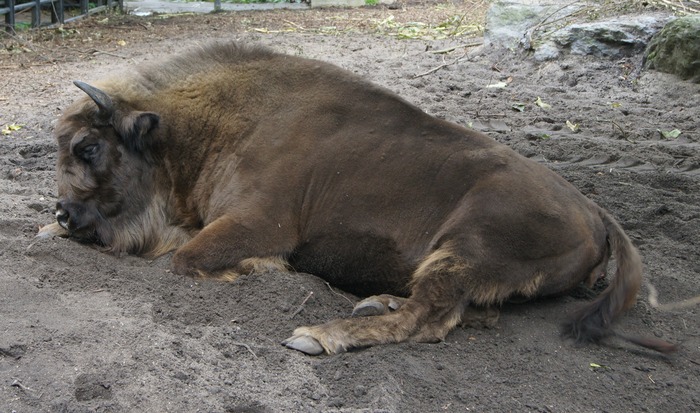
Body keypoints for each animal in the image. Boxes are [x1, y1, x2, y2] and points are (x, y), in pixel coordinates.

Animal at [38, 43, 672, 356]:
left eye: (89, 147)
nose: (64, 210)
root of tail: (596, 212)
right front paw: (47, 231)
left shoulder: (256, 224)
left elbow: (186, 259)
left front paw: (265, 273)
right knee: (466, 310)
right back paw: (374, 302)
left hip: (470, 242)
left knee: (431, 317)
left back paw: (320, 335)